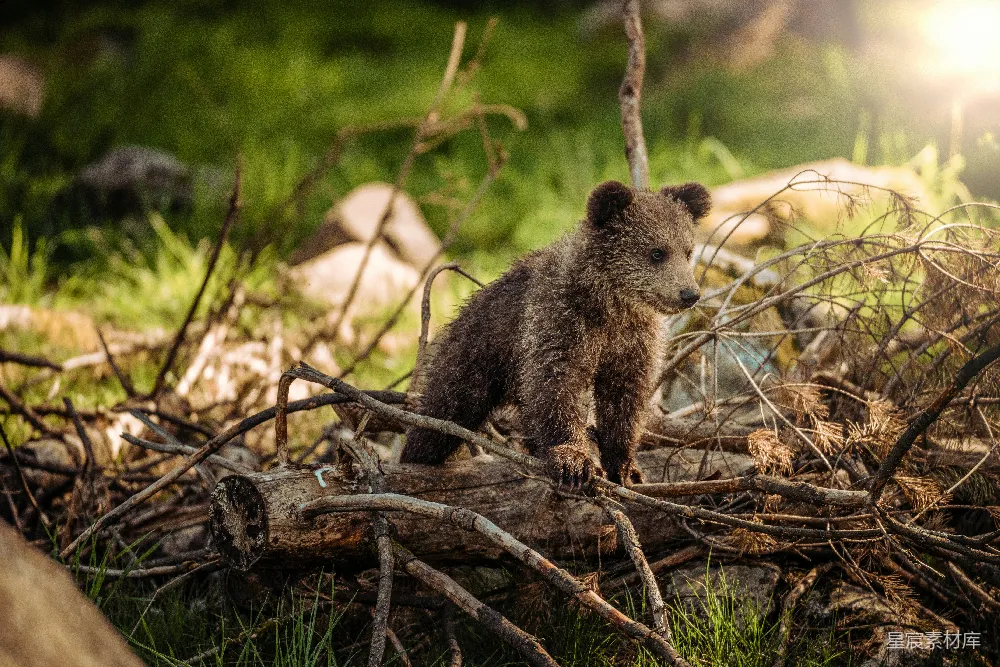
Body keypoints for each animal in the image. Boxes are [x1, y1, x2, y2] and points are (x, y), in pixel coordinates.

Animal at [401, 180, 711, 488]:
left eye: (687, 251)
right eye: (656, 252)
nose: (689, 294)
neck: (610, 307)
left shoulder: (632, 342)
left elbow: (624, 400)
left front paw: (625, 467)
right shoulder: (559, 323)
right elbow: (555, 386)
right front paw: (574, 460)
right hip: (474, 357)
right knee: (442, 413)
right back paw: (416, 456)